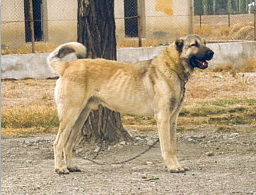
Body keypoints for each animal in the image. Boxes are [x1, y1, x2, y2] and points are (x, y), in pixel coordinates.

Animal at [48, 33, 214, 174]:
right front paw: (172, 167)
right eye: (194, 44)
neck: (173, 67)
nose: (211, 53)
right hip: (70, 115)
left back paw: (71, 166)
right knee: (58, 143)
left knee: (68, 144)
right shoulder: (163, 118)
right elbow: (166, 147)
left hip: (79, 118)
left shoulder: (172, 120)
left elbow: (172, 147)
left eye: (205, 43)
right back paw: (60, 169)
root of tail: (67, 66)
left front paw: (177, 165)